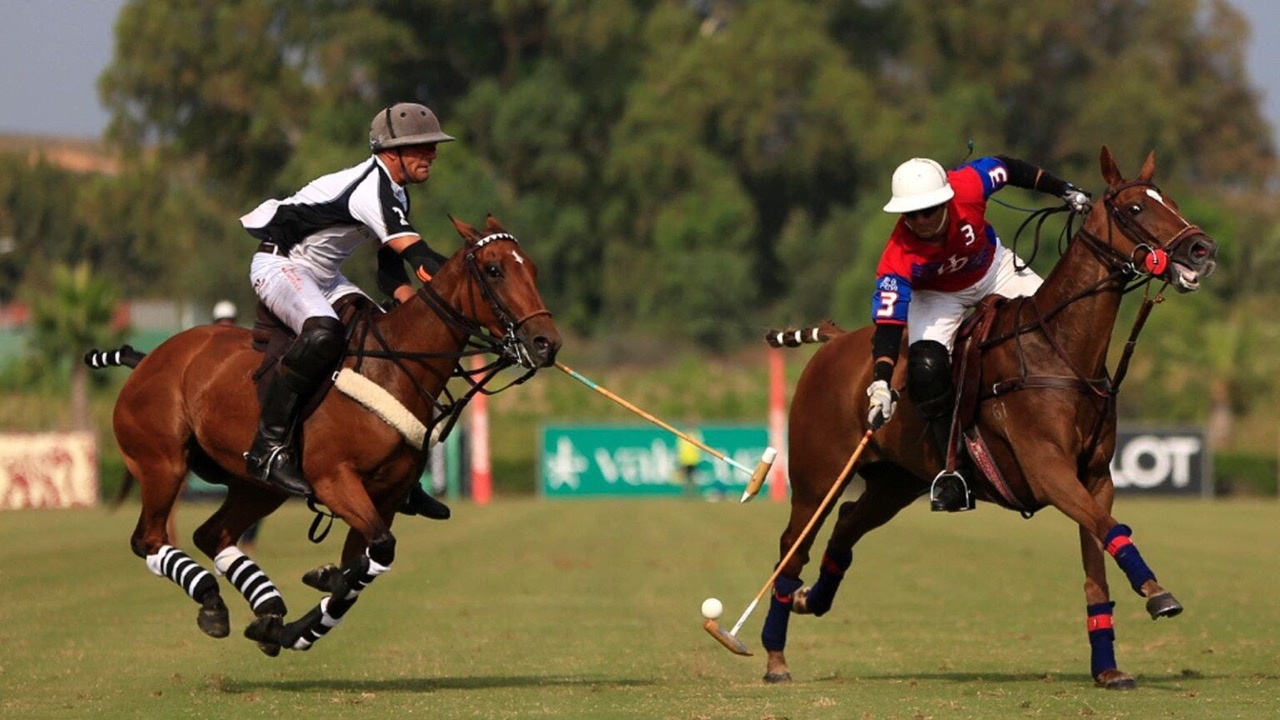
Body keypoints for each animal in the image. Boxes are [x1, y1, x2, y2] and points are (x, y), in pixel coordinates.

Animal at [88, 216, 561, 654]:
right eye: (494, 269)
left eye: (535, 269)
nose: (546, 343)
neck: (394, 367)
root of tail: (148, 358)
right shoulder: (335, 479)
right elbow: (374, 554)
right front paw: (313, 599)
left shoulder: (386, 497)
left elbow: (364, 564)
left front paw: (297, 621)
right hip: (162, 463)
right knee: (148, 539)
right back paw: (213, 600)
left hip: (256, 485)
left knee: (212, 534)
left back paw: (266, 608)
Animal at [757, 147, 1217, 689]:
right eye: (1135, 209)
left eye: (1170, 200)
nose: (1202, 249)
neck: (1060, 353)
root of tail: (834, 343)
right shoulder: (1047, 469)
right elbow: (1112, 530)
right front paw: (1158, 594)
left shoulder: (1094, 476)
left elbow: (1098, 555)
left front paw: (1108, 668)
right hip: (818, 476)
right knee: (793, 546)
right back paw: (775, 656)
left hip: (896, 481)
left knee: (848, 522)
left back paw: (813, 599)